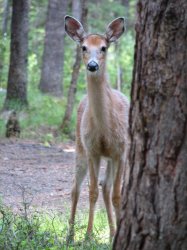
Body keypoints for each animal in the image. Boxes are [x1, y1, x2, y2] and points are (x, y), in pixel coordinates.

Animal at [64, 15, 129, 240]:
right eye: (83, 47)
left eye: (104, 48)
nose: (92, 65)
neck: (104, 130)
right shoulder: (93, 149)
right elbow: (91, 191)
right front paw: (88, 236)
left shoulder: (121, 151)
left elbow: (117, 194)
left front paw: (115, 234)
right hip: (79, 147)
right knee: (76, 188)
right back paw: (70, 234)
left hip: (112, 157)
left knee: (106, 187)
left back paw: (112, 232)